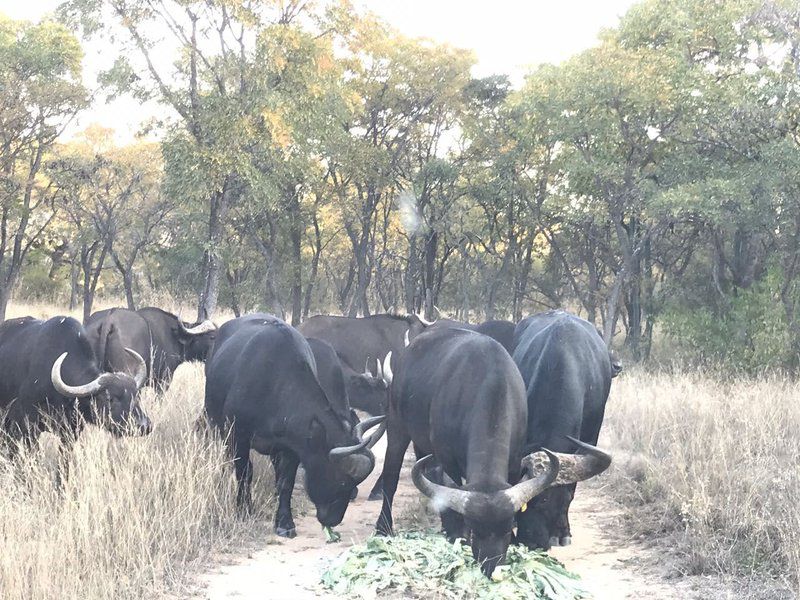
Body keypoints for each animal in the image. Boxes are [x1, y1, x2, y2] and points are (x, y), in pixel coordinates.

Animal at [205, 316, 382, 536]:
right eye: (341, 480)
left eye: (354, 484)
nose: (333, 520)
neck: (276, 384)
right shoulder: (239, 436)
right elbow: (244, 473)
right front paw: (244, 509)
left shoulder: (293, 446)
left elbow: (285, 482)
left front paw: (284, 522)